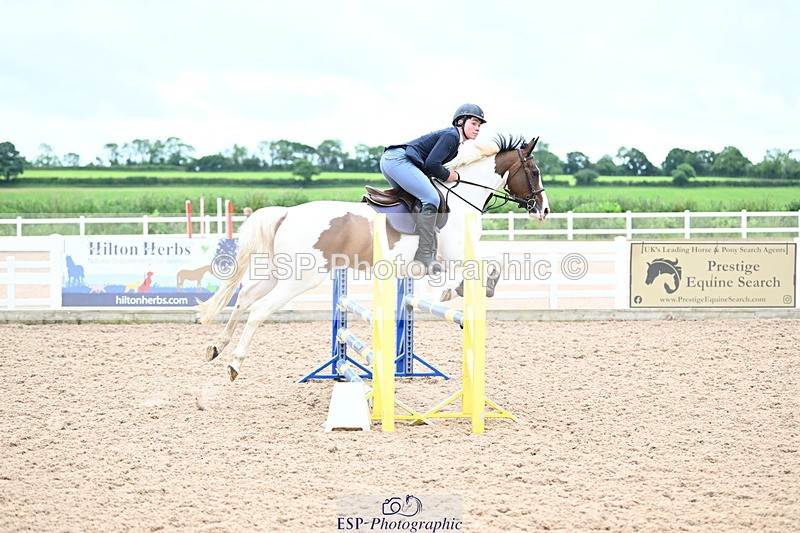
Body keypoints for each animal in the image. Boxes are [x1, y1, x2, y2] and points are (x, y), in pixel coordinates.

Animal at [197, 135, 550, 381]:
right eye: (533, 171)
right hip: (300, 279)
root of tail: (286, 214)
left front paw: (455, 291)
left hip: (278, 273)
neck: (462, 199)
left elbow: (489, 264)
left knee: (243, 299)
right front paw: (457, 291)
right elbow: (490, 265)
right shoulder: (456, 255)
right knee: (258, 310)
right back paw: (234, 364)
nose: (543, 210)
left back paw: (216, 347)